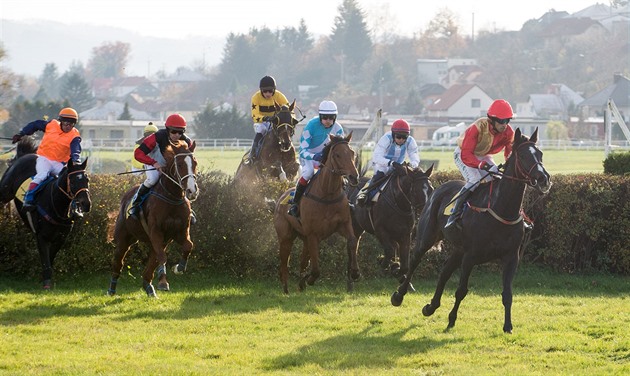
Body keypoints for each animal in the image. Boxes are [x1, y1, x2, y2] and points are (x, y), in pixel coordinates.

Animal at [0, 140, 91, 290]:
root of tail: (23, 155)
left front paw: (43, 277)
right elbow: (45, 259)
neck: (56, 206)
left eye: (87, 180)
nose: (86, 204)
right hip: (5, 192)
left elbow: (50, 257)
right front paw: (47, 282)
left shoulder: (61, 238)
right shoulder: (41, 237)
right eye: (72, 181)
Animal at [107, 140, 199, 298]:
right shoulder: (156, 231)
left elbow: (188, 246)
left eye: (194, 163)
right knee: (118, 263)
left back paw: (148, 287)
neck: (172, 197)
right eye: (180, 164)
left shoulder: (179, 232)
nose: (192, 191)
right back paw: (112, 289)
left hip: (158, 241)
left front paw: (179, 268)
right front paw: (163, 282)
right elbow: (162, 257)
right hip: (124, 239)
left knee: (152, 261)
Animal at [272, 134, 358, 296]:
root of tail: (281, 198)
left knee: (302, 261)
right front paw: (310, 279)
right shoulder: (313, 235)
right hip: (286, 237)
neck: (328, 194)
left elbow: (352, 241)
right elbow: (316, 269)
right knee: (284, 261)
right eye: (337, 155)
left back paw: (301, 283)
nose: (354, 177)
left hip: (304, 238)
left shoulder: (344, 225)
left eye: (352, 153)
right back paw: (286, 287)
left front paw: (355, 272)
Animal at [392, 128, 552, 334]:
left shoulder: (511, 257)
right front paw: (451, 319)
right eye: (524, 155)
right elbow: (461, 290)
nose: (544, 179)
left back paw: (431, 307)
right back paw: (399, 296)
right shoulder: (471, 255)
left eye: (540, 154)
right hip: (426, 238)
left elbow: (507, 293)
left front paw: (508, 326)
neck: (501, 209)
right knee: (414, 262)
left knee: (444, 272)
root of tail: (437, 190)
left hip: (458, 249)